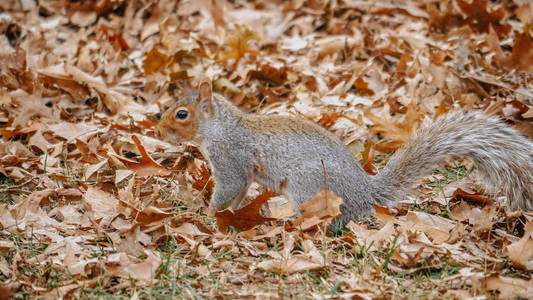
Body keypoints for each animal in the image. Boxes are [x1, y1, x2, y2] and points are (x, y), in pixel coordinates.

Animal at [156, 79, 532, 227]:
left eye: (181, 114)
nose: (158, 129)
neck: (219, 128)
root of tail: (364, 191)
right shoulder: (241, 173)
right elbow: (237, 196)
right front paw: (228, 214)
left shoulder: (231, 161)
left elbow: (227, 191)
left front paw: (207, 215)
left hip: (307, 185)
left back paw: (289, 223)